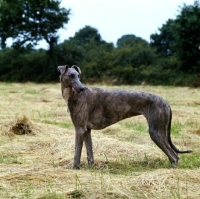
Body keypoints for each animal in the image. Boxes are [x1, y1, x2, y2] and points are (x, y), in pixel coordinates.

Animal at [57, 64, 191, 169]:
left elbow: (77, 153)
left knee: (174, 156)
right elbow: (90, 154)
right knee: (174, 155)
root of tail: (166, 103)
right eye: (71, 76)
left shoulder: (79, 129)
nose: (81, 88)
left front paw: (75, 168)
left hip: (156, 132)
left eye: (78, 76)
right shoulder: (86, 130)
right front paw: (90, 169)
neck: (73, 95)